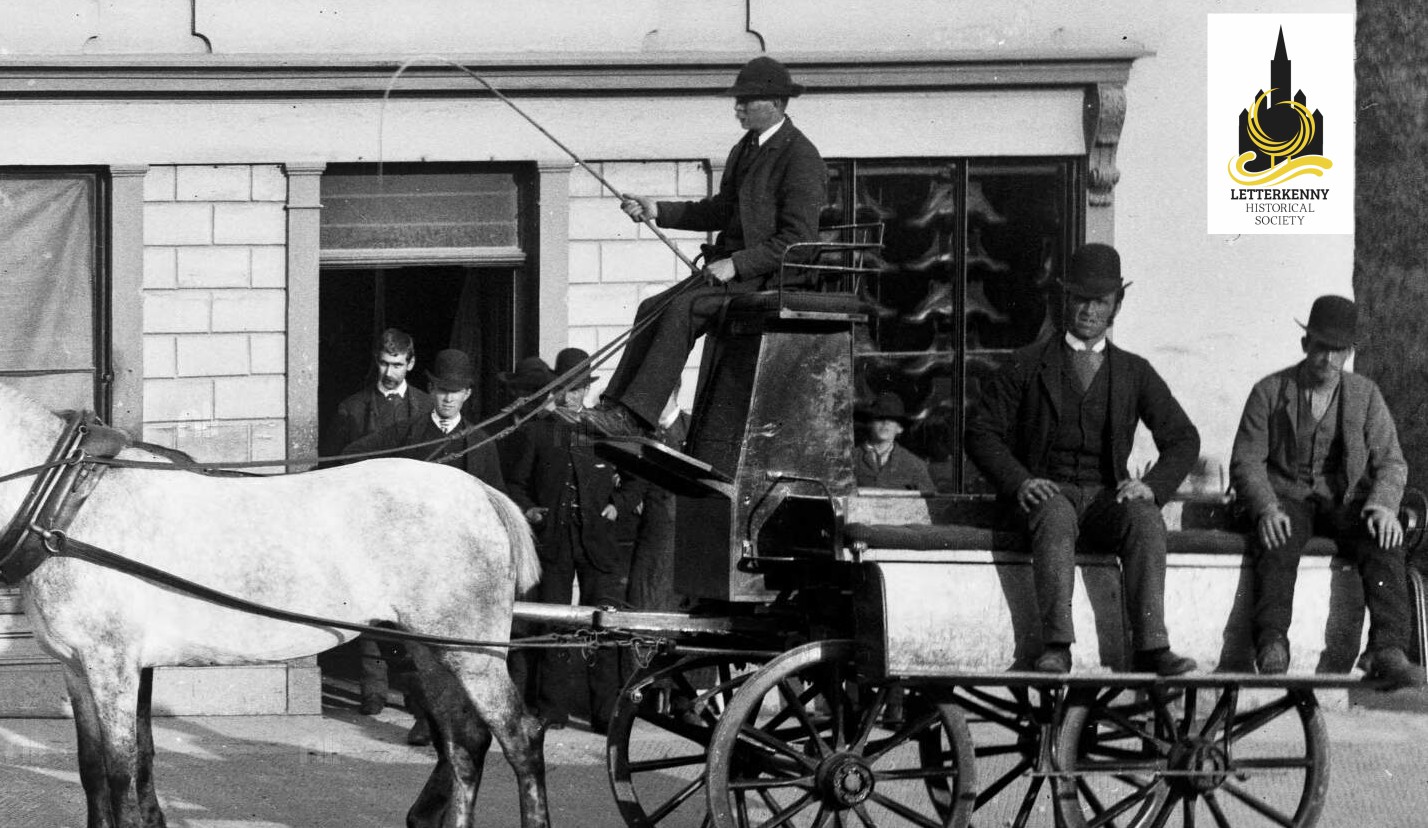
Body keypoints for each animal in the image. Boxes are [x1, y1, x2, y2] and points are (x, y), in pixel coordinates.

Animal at [0, 385, 545, 828]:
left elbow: (121, 774)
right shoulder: (77, 666)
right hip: (430, 648)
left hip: (472, 651)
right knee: (464, 742)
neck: (70, 505)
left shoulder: (112, 664)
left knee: (520, 737)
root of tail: (482, 494)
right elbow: (93, 771)